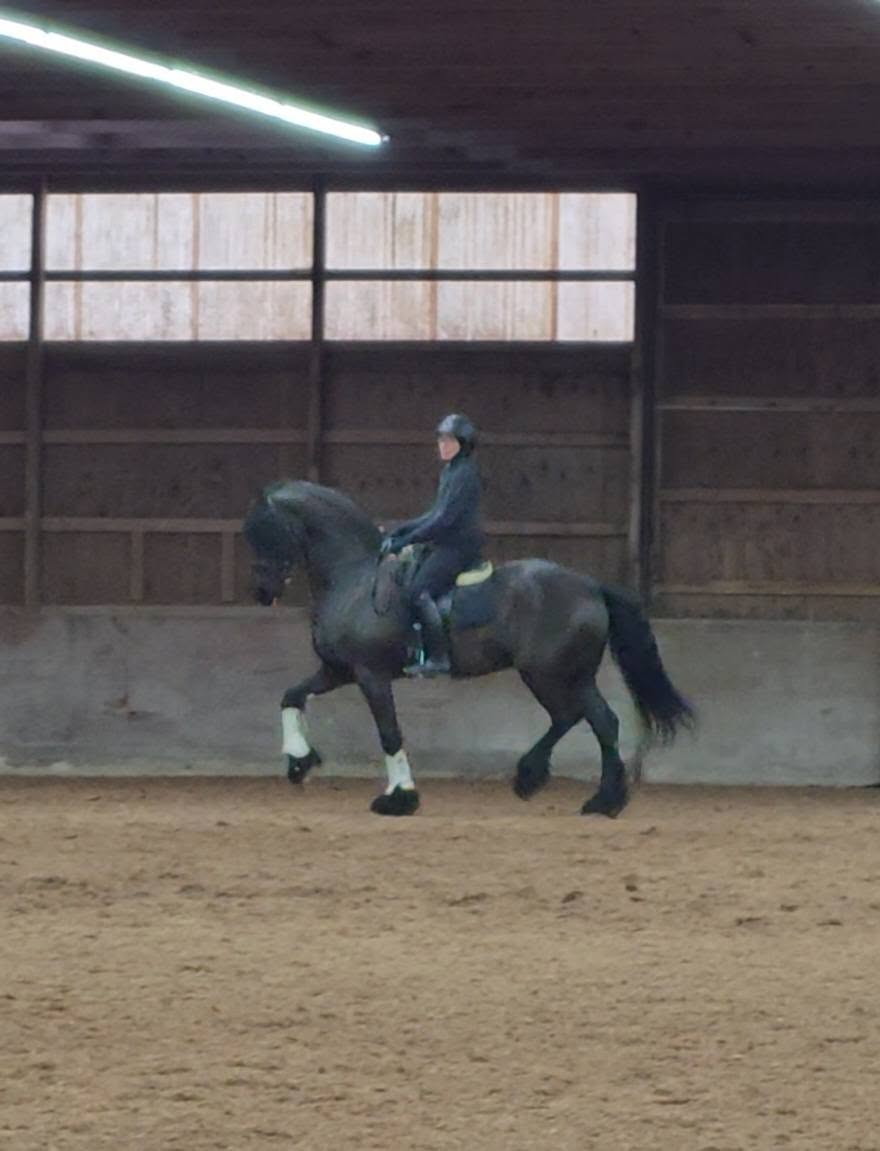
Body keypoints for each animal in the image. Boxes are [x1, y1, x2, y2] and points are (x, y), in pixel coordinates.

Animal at [243, 479, 694, 817]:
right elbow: (291, 696)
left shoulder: (371, 676)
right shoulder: (338, 671)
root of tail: (591, 586)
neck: (354, 580)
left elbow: (389, 733)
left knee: (596, 720)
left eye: (268, 531)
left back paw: (600, 799)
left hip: (552, 672)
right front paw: (298, 760)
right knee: (577, 718)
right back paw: (548, 782)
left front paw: (400, 799)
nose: (262, 591)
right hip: (560, 674)